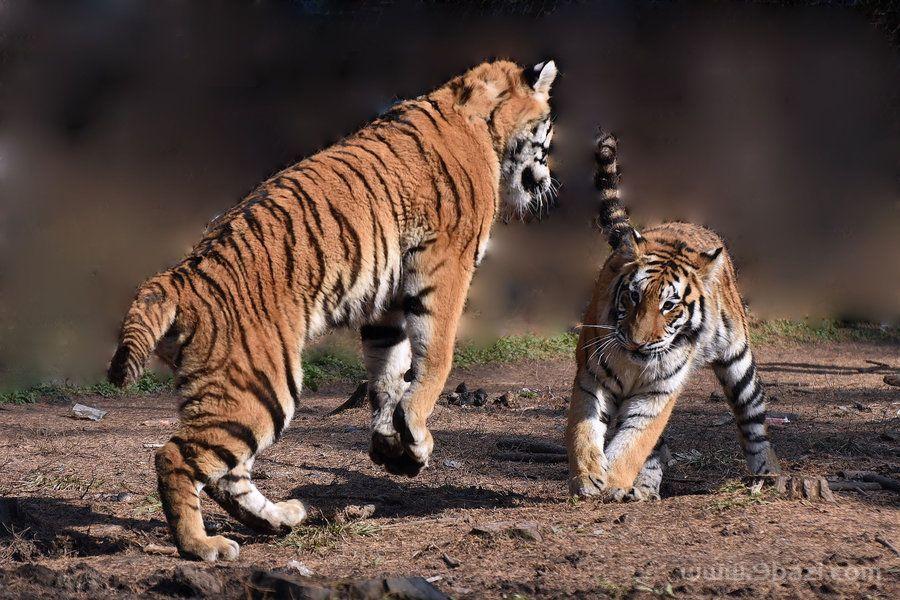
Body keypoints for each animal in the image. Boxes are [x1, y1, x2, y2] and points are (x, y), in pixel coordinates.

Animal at [109, 58, 560, 560]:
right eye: (548, 132)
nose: (547, 182)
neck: (478, 113)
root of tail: (176, 277)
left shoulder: (390, 296)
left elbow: (389, 368)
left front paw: (394, 444)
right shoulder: (446, 263)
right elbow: (436, 355)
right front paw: (415, 433)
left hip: (239, 391)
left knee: (229, 474)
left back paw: (280, 519)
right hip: (263, 386)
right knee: (175, 456)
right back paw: (202, 545)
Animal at [568, 131, 784, 502]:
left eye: (669, 305)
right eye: (633, 296)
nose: (637, 343)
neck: (633, 363)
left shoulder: (657, 394)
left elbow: (634, 442)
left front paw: (612, 481)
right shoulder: (591, 379)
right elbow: (584, 432)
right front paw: (588, 477)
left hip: (739, 362)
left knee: (753, 420)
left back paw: (767, 473)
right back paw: (644, 488)